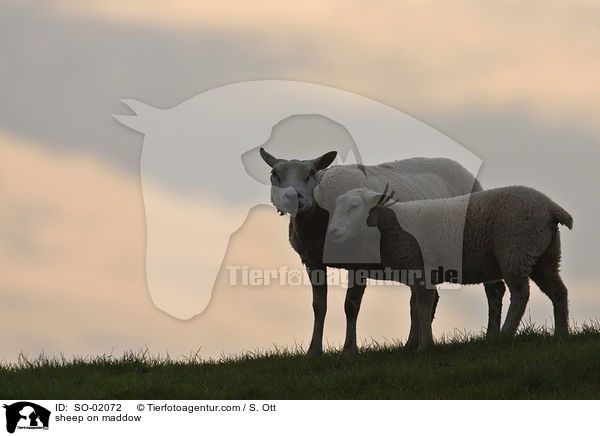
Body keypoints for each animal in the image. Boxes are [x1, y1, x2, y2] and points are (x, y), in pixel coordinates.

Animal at [258, 146, 506, 354]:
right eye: (274, 174)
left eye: (311, 173)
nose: (293, 197)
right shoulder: (312, 261)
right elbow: (319, 307)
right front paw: (314, 352)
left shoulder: (358, 262)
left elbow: (351, 305)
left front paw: (349, 351)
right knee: (422, 300)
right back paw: (411, 344)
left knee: (495, 289)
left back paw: (493, 336)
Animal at [330, 185, 576, 350]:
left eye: (354, 206)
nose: (333, 232)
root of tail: (551, 207)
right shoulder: (417, 273)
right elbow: (415, 308)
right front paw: (412, 344)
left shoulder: (423, 269)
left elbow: (423, 307)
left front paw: (425, 346)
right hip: (544, 256)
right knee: (559, 292)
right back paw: (561, 334)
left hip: (515, 250)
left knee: (520, 294)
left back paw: (505, 334)